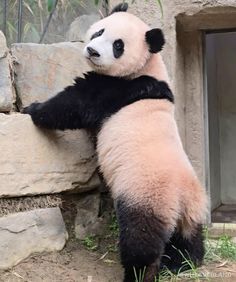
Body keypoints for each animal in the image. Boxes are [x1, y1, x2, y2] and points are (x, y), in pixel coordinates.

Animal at [23, 2, 208, 282]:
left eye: (118, 45)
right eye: (99, 31)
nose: (92, 51)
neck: (149, 65)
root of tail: (181, 198)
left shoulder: (118, 89)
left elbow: (74, 104)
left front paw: (33, 109)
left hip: (145, 195)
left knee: (140, 241)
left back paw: (139, 273)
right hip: (192, 209)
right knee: (189, 237)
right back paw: (183, 263)